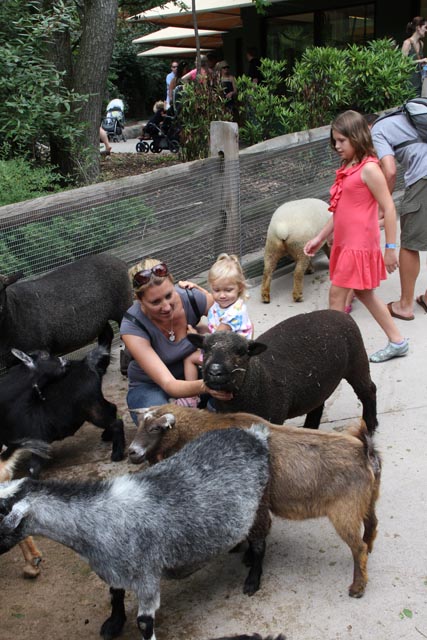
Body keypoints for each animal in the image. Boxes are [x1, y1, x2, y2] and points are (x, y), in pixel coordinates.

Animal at [0, 254, 133, 364]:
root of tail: (122, 262)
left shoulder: (39, 349)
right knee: (107, 334)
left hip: (123, 305)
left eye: (2, 288)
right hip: (100, 318)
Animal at [0, 424, 272, 640]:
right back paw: (241, 550)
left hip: (259, 503)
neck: (95, 521)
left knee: (261, 540)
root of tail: (254, 434)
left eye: (1, 511)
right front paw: (114, 623)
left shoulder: (146, 573)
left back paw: (252, 577)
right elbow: (115, 594)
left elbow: (144, 622)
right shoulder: (114, 568)